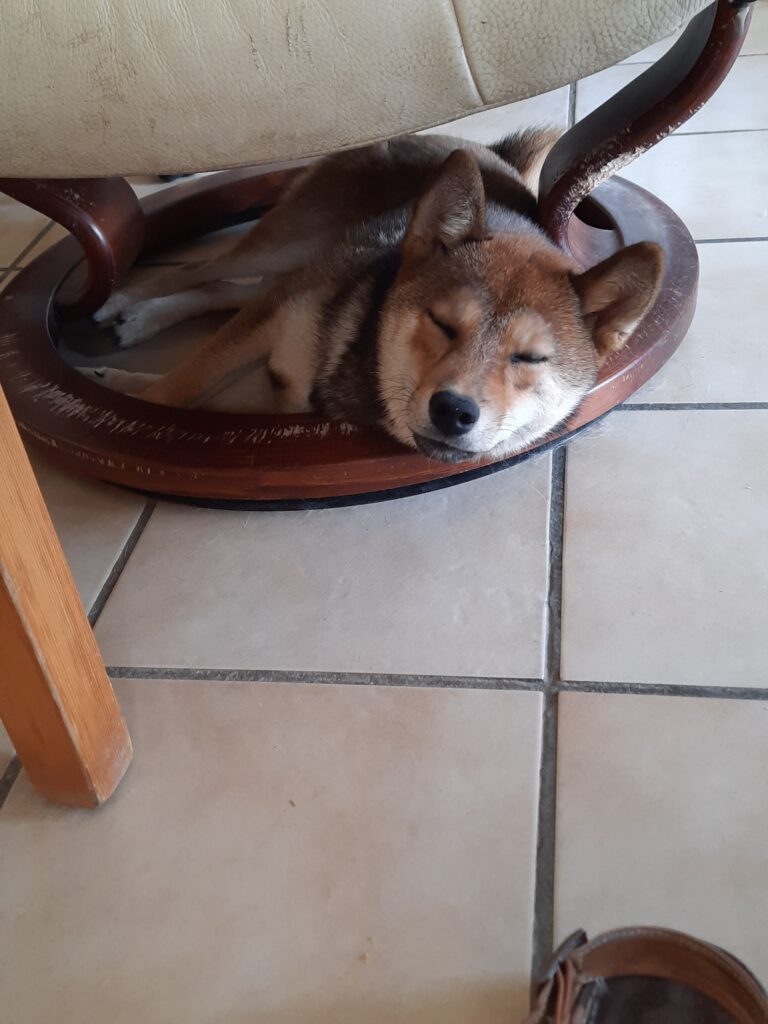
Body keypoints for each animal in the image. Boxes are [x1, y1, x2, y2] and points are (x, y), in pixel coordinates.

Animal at [82, 130, 663, 466]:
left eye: (530, 358)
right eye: (442, 322)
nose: (453, 411)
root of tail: (478, 147)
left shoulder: (277, 389)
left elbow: (196, 388)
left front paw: (127, 386)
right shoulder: (281, 313)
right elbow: (180, 386)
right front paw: (136, 416)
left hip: (299, 262)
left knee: (225, 292)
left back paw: (133, 330)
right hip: (290, 243)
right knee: (204, 271)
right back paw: (121, 306)